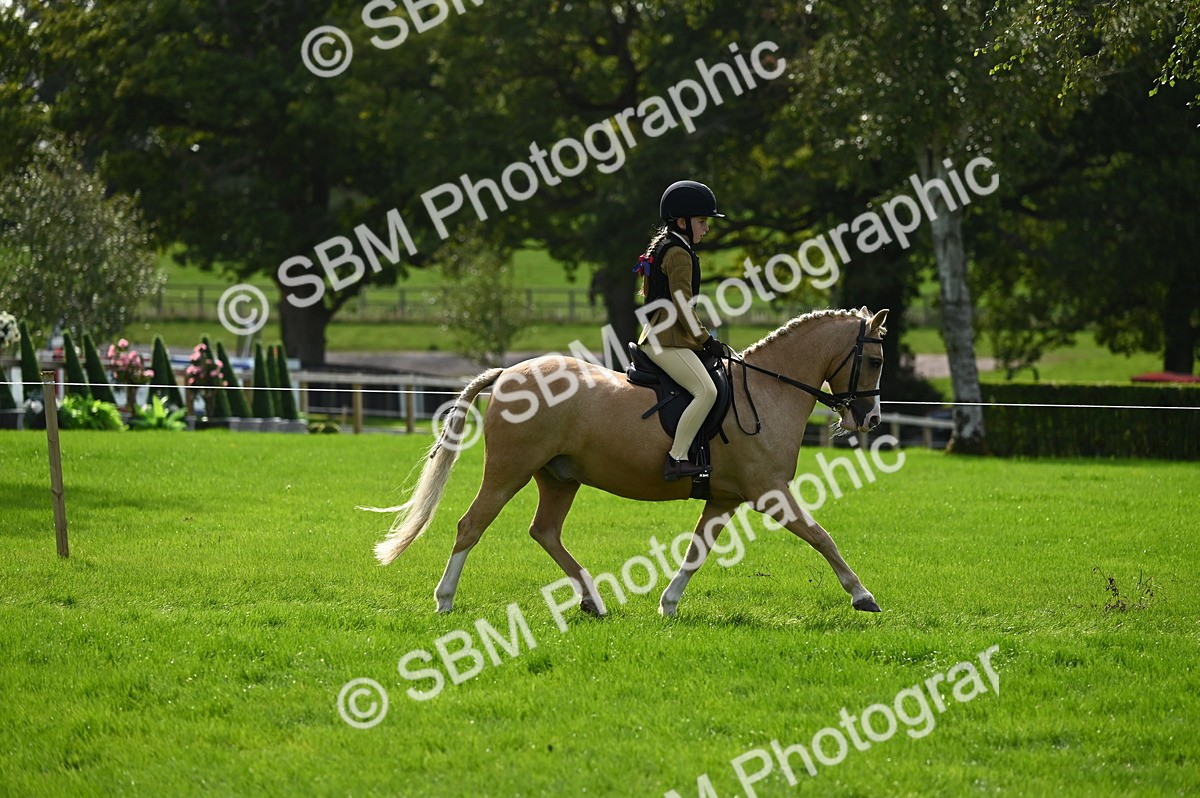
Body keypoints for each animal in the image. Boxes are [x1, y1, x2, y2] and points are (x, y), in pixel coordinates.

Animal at [370, 306, 889, 617]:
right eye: (876, 361)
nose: (870, 418)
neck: (766, 390)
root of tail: (508, 374)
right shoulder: (771, 492)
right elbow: (821, 537)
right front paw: (863, 595)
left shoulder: (725, 498)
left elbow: (697, 551)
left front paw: (669, 604)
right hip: (508, 472)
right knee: (471, 526)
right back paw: (445, 600)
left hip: (559, 478)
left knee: (545, 532)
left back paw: (592, 599)